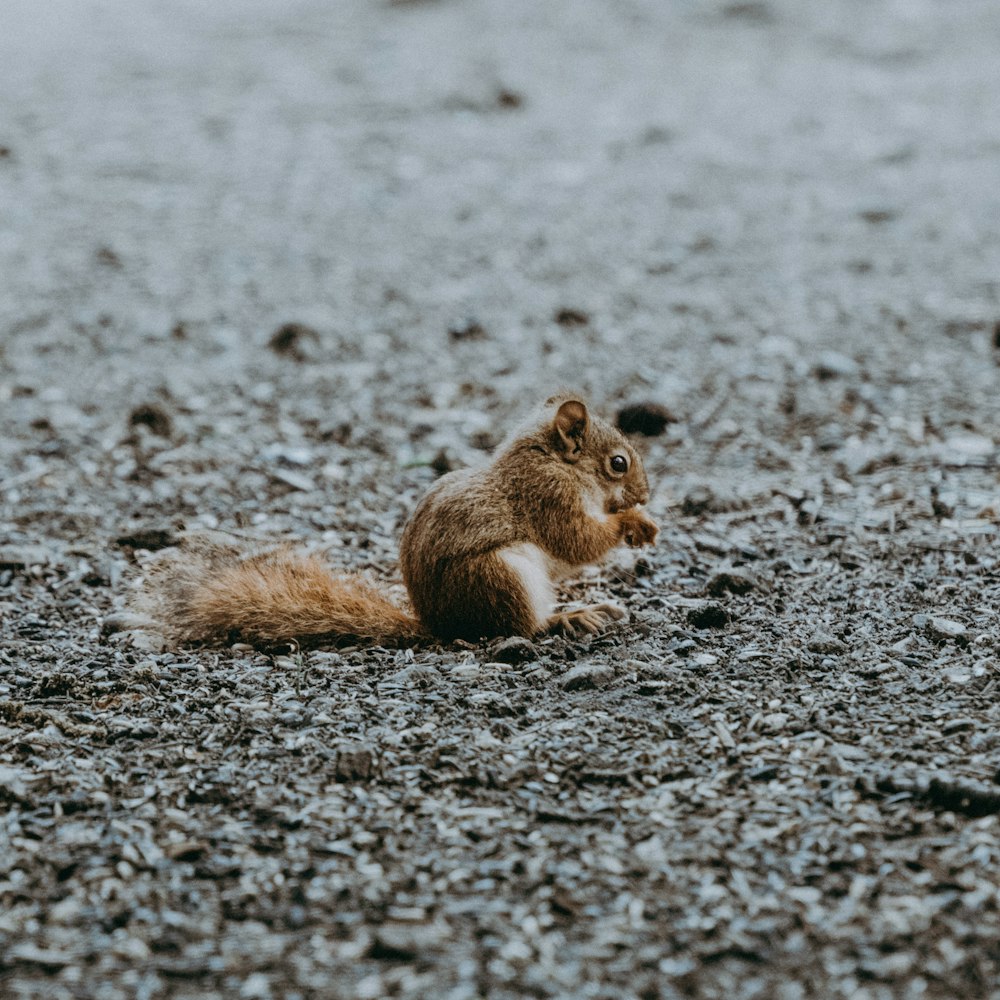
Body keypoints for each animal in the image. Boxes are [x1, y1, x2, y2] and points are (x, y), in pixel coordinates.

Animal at [135, 396, 664, 648]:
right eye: (618, 463)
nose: (644, 494)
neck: (558, 463)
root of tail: (440, 625)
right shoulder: (547, 496)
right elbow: (577, 540)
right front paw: (634, 522)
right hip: (500, 577)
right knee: (520, 628)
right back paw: (566, 618)